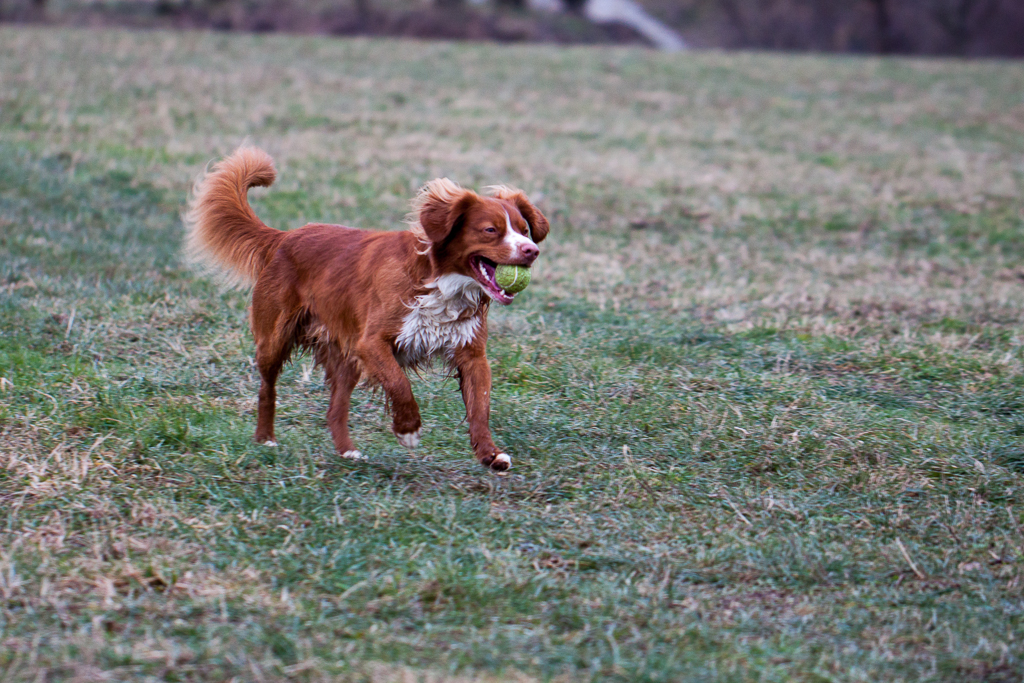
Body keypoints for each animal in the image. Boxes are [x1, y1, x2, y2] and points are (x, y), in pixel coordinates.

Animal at [187, 147, 548, 473]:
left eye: (524, 230)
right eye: (490, 230)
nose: (532, 251)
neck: (441, 284)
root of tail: (284, 237)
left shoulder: (471, 353)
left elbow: (480, 406)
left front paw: (490, 454)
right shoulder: (371, 342)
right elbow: (400, 384)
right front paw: (408, 430)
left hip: (344, 355)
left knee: (335, 409)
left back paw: (347, 451)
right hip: (275, 339)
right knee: (267, 388)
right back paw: (265, 439)